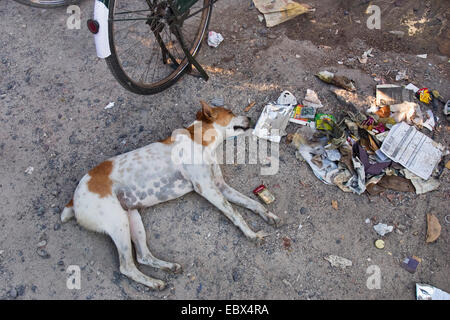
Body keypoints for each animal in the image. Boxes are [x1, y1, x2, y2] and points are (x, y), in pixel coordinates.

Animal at [61, 100, 280, 290]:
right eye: (230, 112)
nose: (250, 117)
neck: (200, 141)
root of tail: (73, 199)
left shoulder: (220, 186)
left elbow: (251, 203)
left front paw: (267, 214)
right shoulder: (207, 188)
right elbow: (236, 213)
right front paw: (251, 234)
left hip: (132, 217)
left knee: (143, 256)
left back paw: (168, 267)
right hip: (118, 223)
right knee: (127, 266)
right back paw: (153, 283)